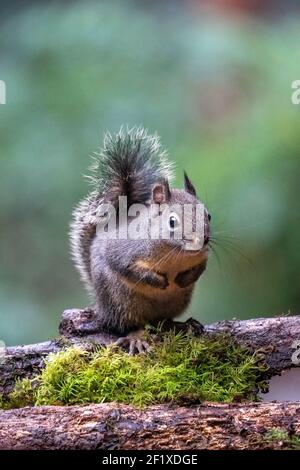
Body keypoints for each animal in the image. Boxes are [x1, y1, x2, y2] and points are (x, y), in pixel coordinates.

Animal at [70, 127, 211, 352]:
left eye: (209, 216)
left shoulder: (202, 257)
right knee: (130, 324)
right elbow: (128, 268)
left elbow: (201, 267)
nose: (202, 241)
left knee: (164, 321)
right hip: (120, 302)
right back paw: (138, 337)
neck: (175, 254)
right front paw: (158, 281)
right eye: (172, 221)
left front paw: (184, 279)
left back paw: (182, 325)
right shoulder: (124, 252)